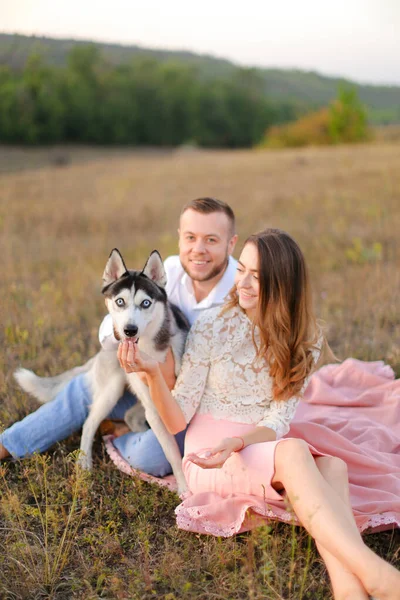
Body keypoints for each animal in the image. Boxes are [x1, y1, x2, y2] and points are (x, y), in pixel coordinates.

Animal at [14, 247, 190, 492]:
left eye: (146, 303)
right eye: (120, 301)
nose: (129, 330)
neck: (148, 349)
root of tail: (100, 351)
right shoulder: (155, 408)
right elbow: (172, 453)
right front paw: (184, 489)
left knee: (129, 416)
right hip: (111, 391)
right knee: (89, 422)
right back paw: (84, 463)